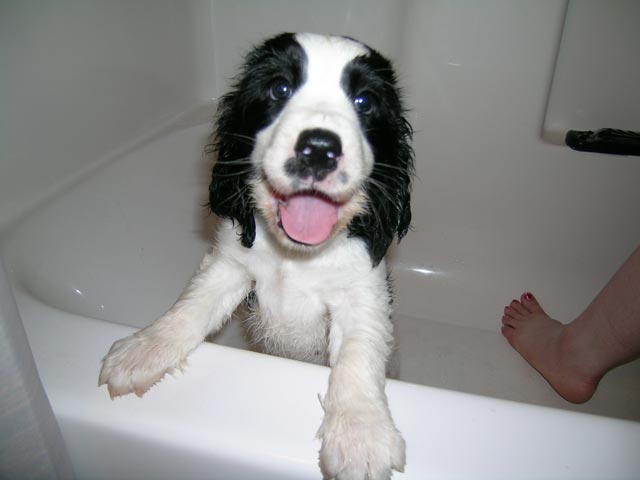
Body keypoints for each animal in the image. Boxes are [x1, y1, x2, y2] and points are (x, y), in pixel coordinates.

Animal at [97, 31, 412, 478]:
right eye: (279, 89)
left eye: (364, 101)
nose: (319, 148)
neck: (296, 255)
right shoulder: (231, 262)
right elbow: (193, 304)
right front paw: (145, 348)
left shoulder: (362, 291)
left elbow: (358, 351)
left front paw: (360, 434)